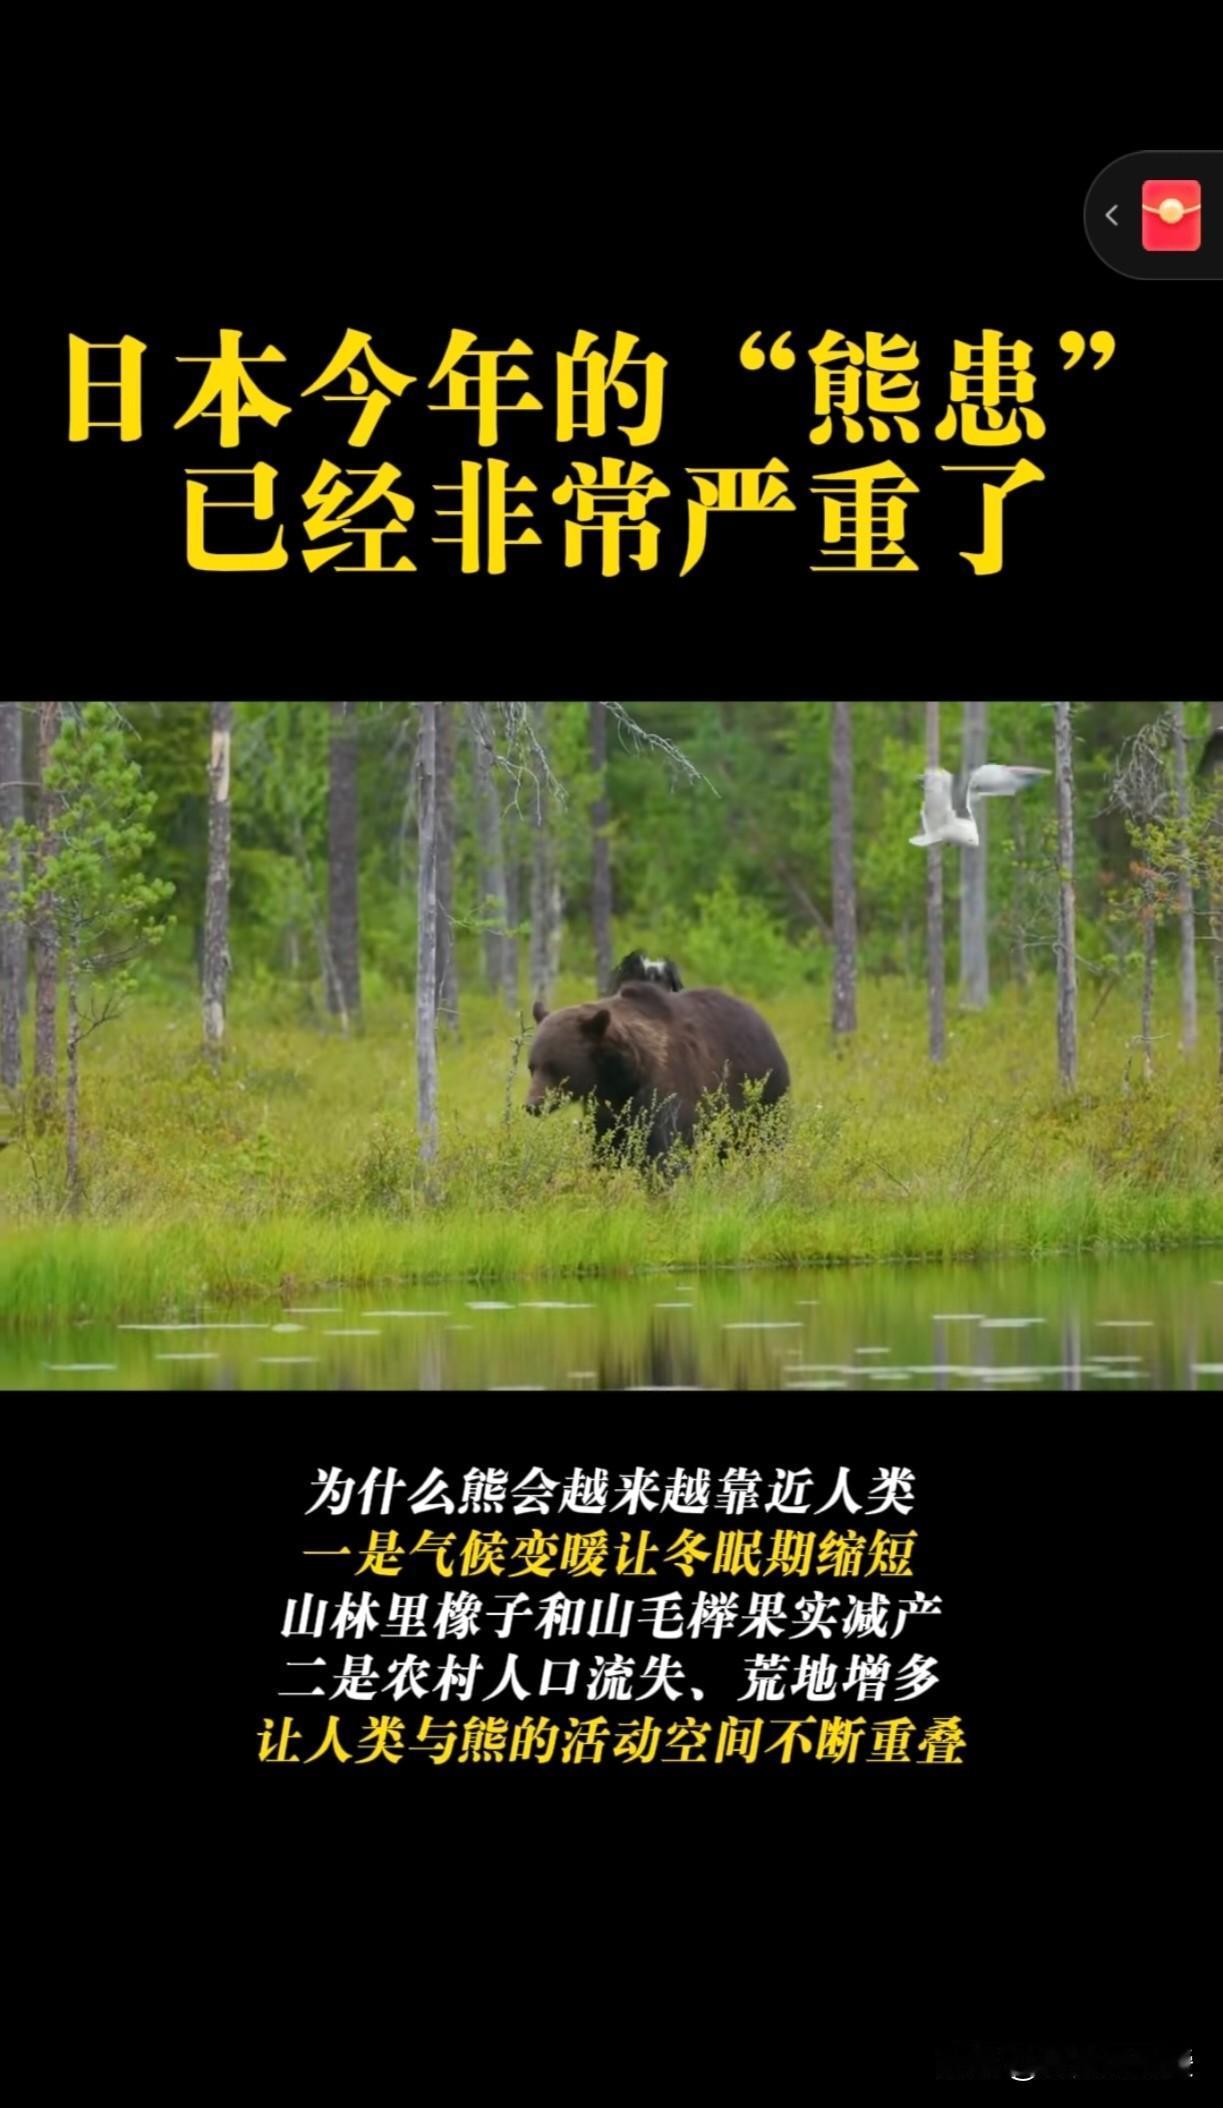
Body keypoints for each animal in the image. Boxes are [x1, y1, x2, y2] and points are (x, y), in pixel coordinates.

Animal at [526, 979, 789, 1162]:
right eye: (532, 1066)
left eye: (557, 1068)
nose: (532, 1104)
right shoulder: (609, 1108)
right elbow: (607, 1147)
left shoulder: (665, 1089)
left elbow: (666, 1149)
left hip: (763, 1094)